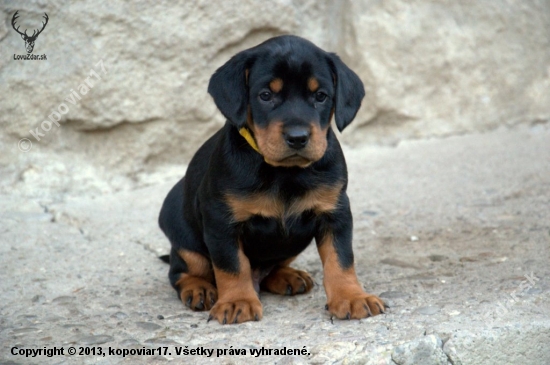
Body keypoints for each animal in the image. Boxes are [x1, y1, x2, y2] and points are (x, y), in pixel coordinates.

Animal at [160, 34, 388, 324]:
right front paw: (237, 301)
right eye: (265, 95)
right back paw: (198, 288)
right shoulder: (220, 221)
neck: (284, 172)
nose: (298, 137)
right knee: (181, 271)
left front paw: (352, 296)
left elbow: (341, 259)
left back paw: (287, 276)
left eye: (321, 96)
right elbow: (231, 265)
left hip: (292, 245)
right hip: (186, 242)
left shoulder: (335, 212)